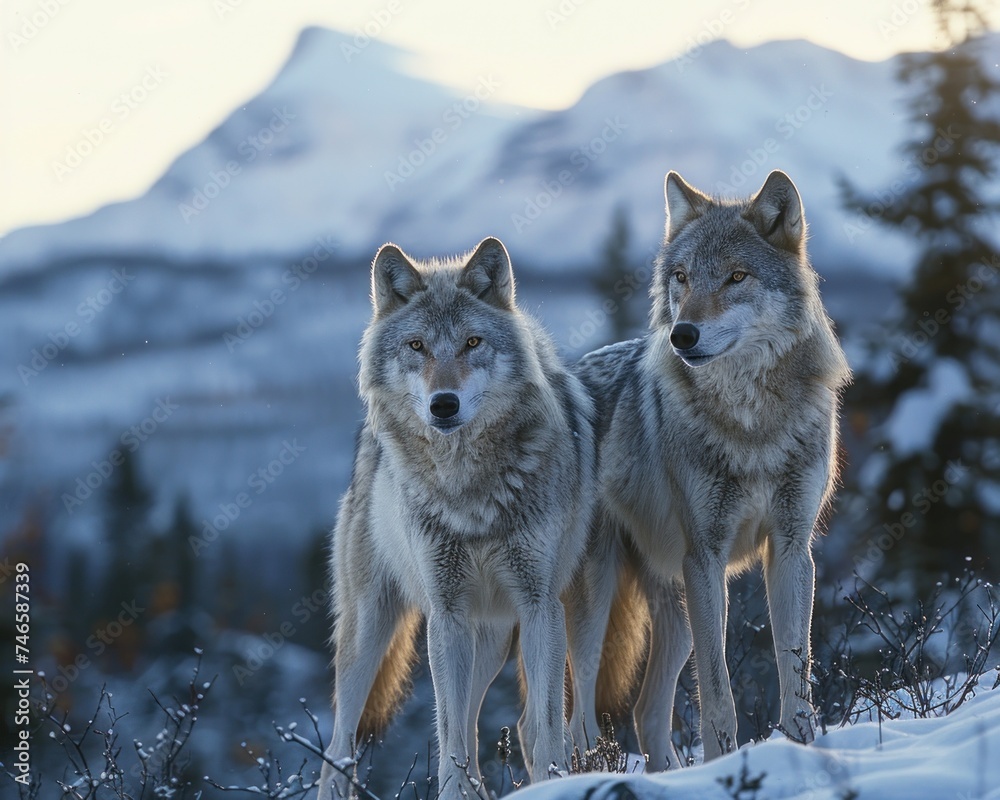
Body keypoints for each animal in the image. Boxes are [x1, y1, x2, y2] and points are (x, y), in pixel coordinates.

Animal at [317, 237, 596, 800]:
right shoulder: (445, 614)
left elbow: (547, 726)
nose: (442, 405)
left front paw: (555, 781)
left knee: (492, 722)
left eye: (472, 342)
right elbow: (448, 735)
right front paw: (452, 789)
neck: (470, 489)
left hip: (490, 637)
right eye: (417, 346)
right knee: (337, 750)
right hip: (371, 633)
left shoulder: (540, 605)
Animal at [568, 170, 851, 769]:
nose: (683, 335)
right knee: (565, 723)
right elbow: (719, 693)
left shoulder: (791, 549)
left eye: (736, 277)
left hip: (673, 614)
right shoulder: (707, 557)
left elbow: (795, 673)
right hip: (596, 607)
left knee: (645, 714)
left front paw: (804, 750)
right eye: (681, 278)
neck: (753, 424)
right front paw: (725, 762)